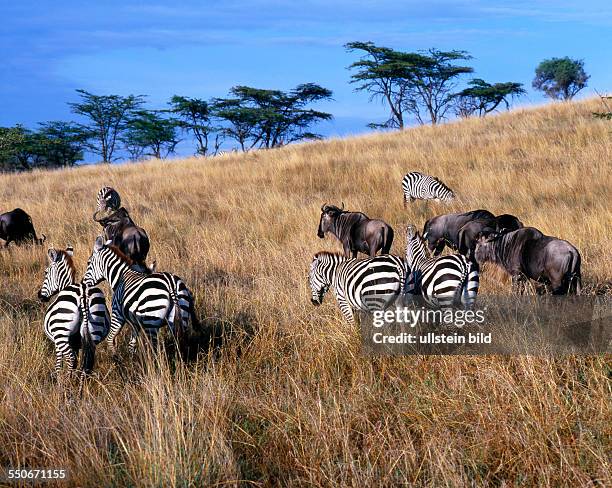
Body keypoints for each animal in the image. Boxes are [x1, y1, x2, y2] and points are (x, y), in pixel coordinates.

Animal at [37, 246, 109, 376]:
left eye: (46, 272)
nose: (40, 296)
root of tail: (83, 293)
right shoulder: (77, 343)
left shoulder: (57, 343)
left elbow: (59, 364)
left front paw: (59, 378)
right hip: (95, 328)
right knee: (88, 362)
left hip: (61, 333)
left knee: (71, 358)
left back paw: (67, 381)